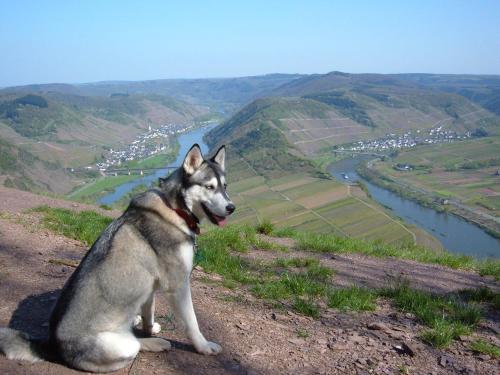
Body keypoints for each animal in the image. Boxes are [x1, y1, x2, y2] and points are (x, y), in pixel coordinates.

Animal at [0, 144, 235, 374]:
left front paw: (149, 327)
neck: (174, 208)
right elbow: (192, 323)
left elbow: (149, 314)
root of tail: (52, 345)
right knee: (136, 344)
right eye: (209, 187)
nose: (232, 208)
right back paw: (156, 343)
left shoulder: (150, 287)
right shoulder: (178, 285)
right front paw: (203, 347)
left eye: (225, 186)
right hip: (122, 346)